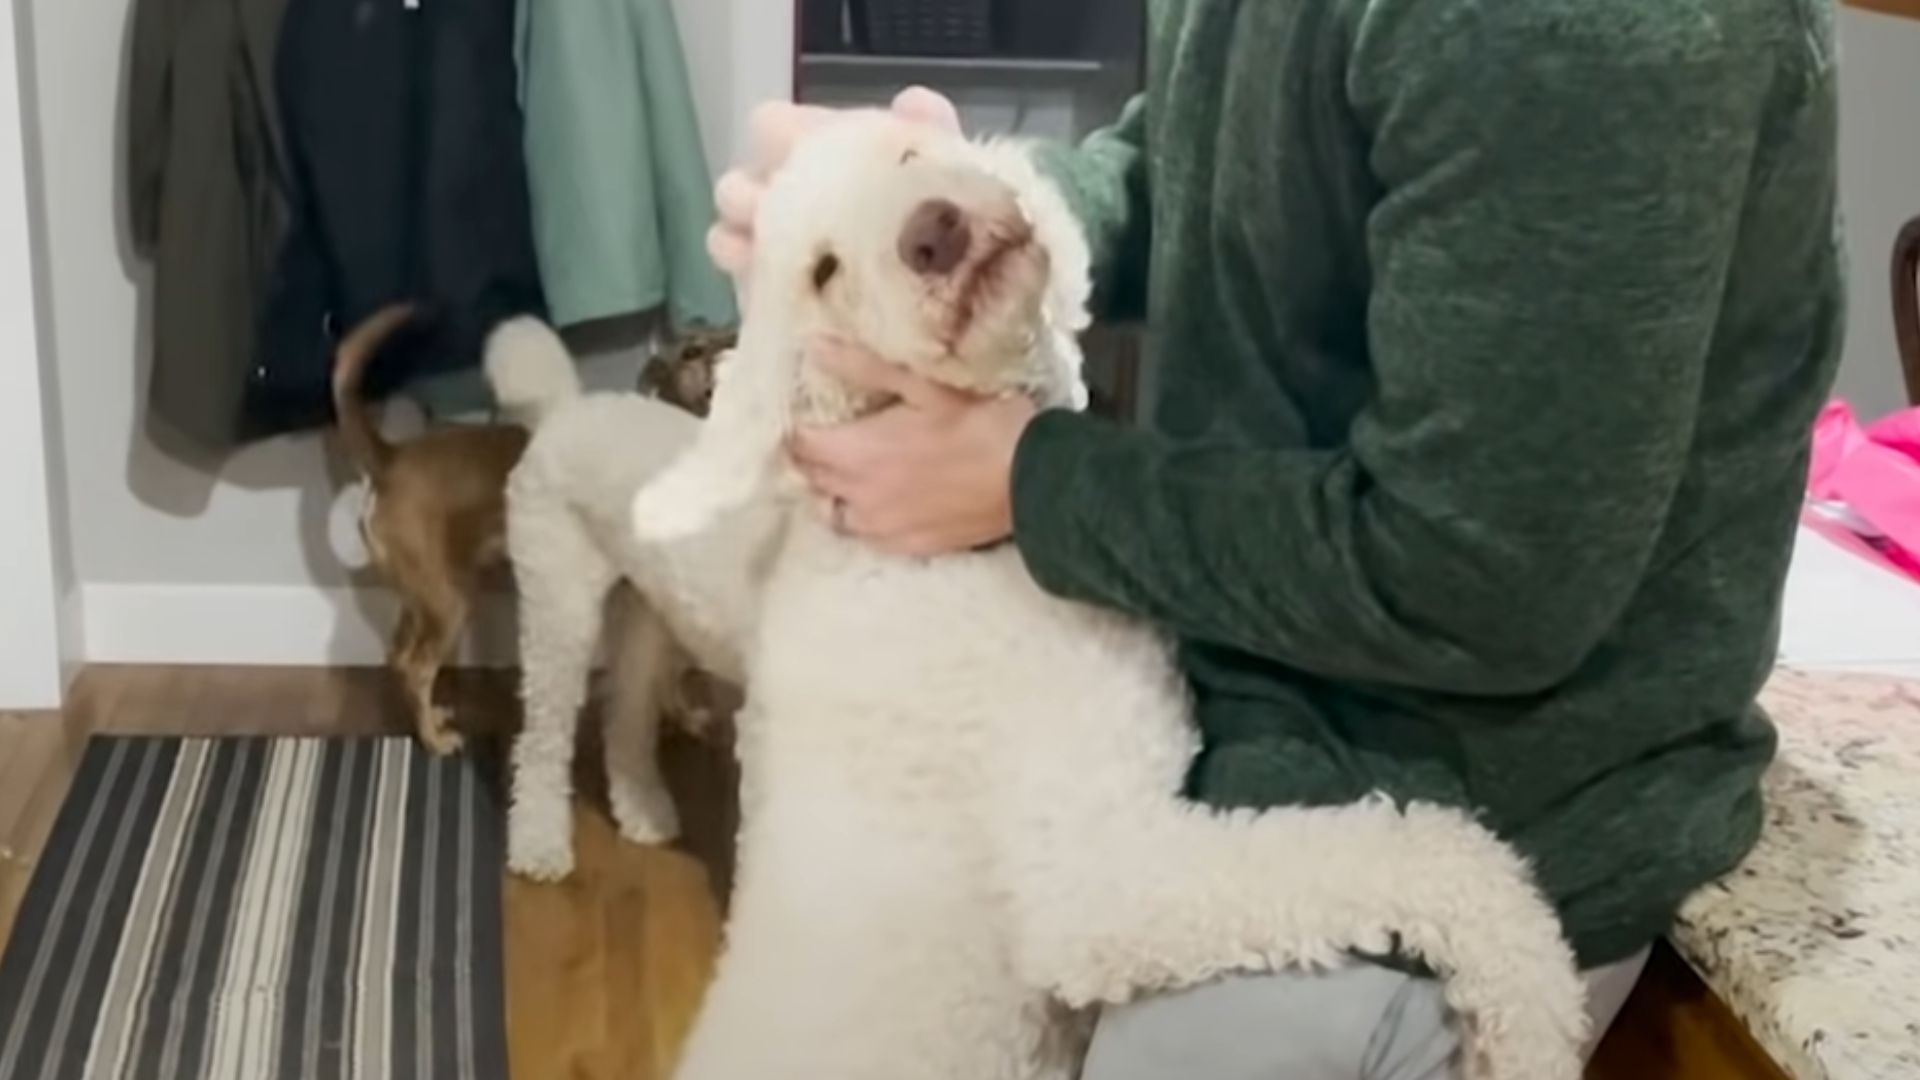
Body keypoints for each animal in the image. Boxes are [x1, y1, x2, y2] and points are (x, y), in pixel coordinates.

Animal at [328, 305, 526, 749]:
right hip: (450, 601)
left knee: (399, 657)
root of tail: (389, 459)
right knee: (417, 668)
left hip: (426, 594)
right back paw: (434, 740)